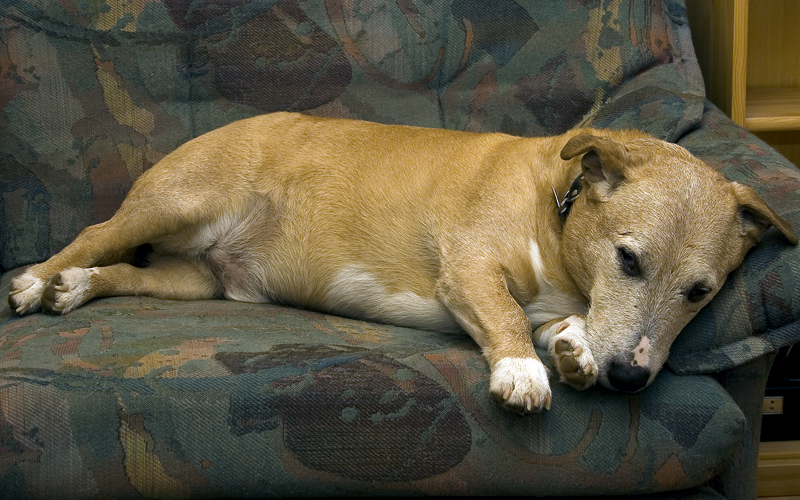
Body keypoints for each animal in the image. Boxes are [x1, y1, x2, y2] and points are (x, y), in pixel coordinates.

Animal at [7, 113, 800, 414]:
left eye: (700, 291)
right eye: (628, 260)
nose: (630, 379)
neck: (555, 206)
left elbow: (555, 324)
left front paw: (570, 349)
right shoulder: (469, 267)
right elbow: (507, 314)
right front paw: (523, 370)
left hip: (193, 281)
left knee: (124, 272)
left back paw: (74, 289)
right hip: (174, 205)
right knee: (93, 233)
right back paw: (36, 280)